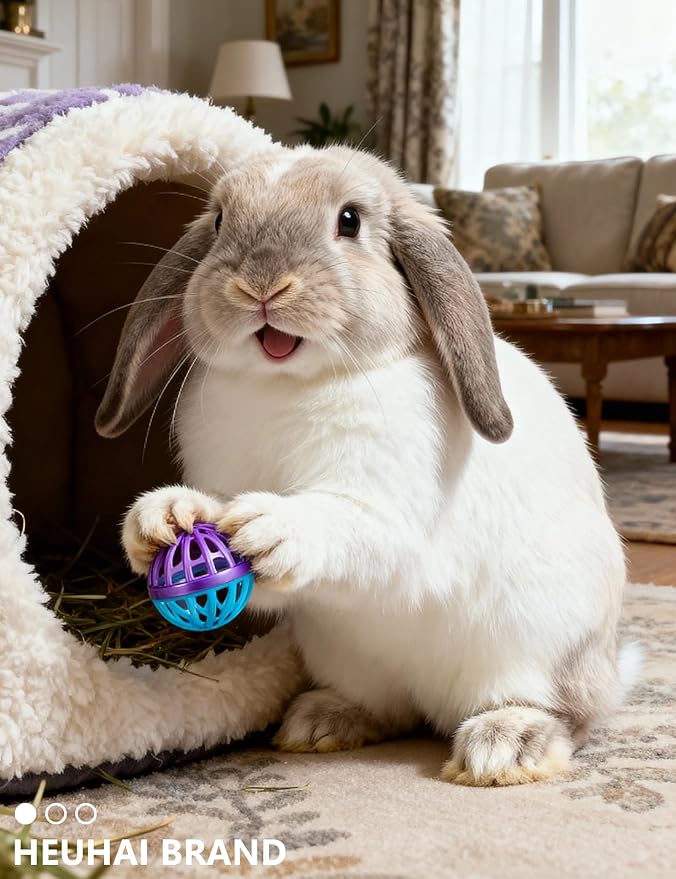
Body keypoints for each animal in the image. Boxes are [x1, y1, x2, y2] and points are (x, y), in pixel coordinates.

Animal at [96, 144, 639, 786]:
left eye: (349, 221)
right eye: (222, 220)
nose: (259, 285)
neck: (287, 385)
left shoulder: (389, 517)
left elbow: (346, 529)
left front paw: (266, 528)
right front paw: (160, 521)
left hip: (537, 645)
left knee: (563, 715)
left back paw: (504, 747)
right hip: (347, 655)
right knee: (389, 708)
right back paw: (322, 724)